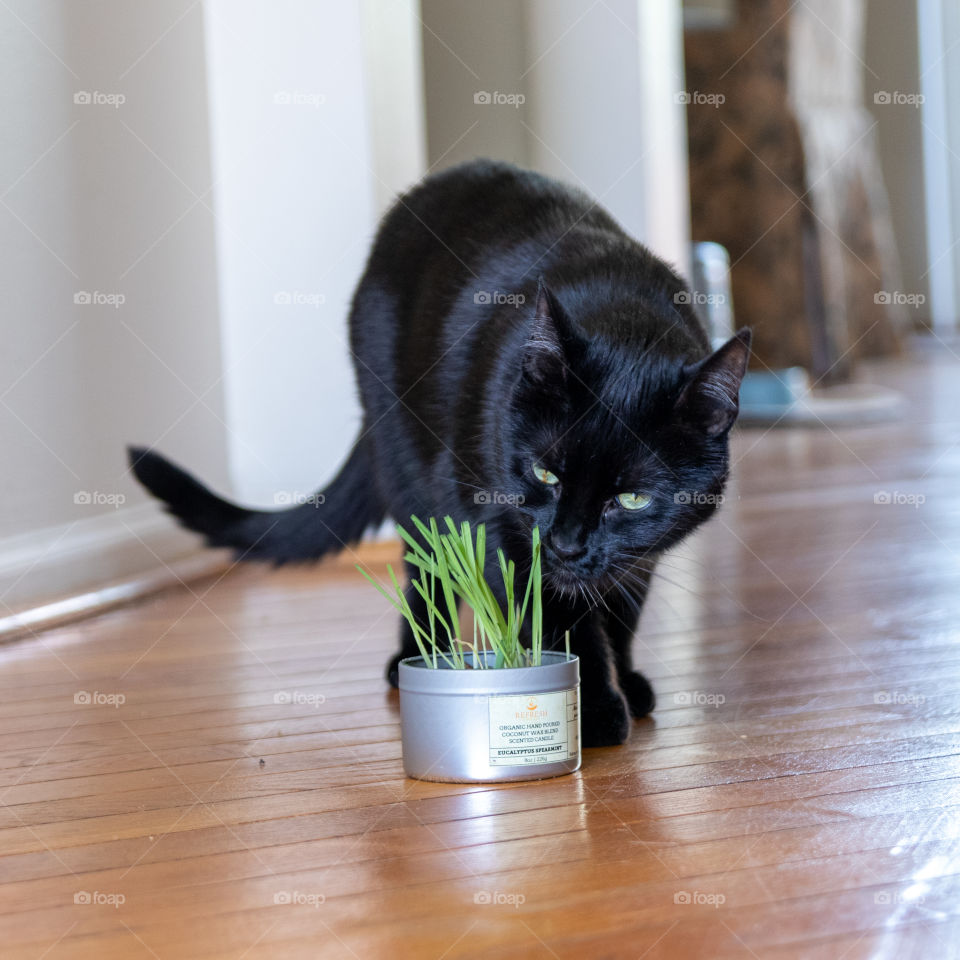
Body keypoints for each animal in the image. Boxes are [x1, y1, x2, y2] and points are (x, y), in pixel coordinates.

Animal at [131, 158, 752, 748]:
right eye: (545, 473)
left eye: (631, 498)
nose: (567, 544)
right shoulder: (504, 530)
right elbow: (558, 620)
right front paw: (594, 711)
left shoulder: (636, 554)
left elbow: (623, 610)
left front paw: (625, 680)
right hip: (410, 469)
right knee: (425, 571)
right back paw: (418, 659)